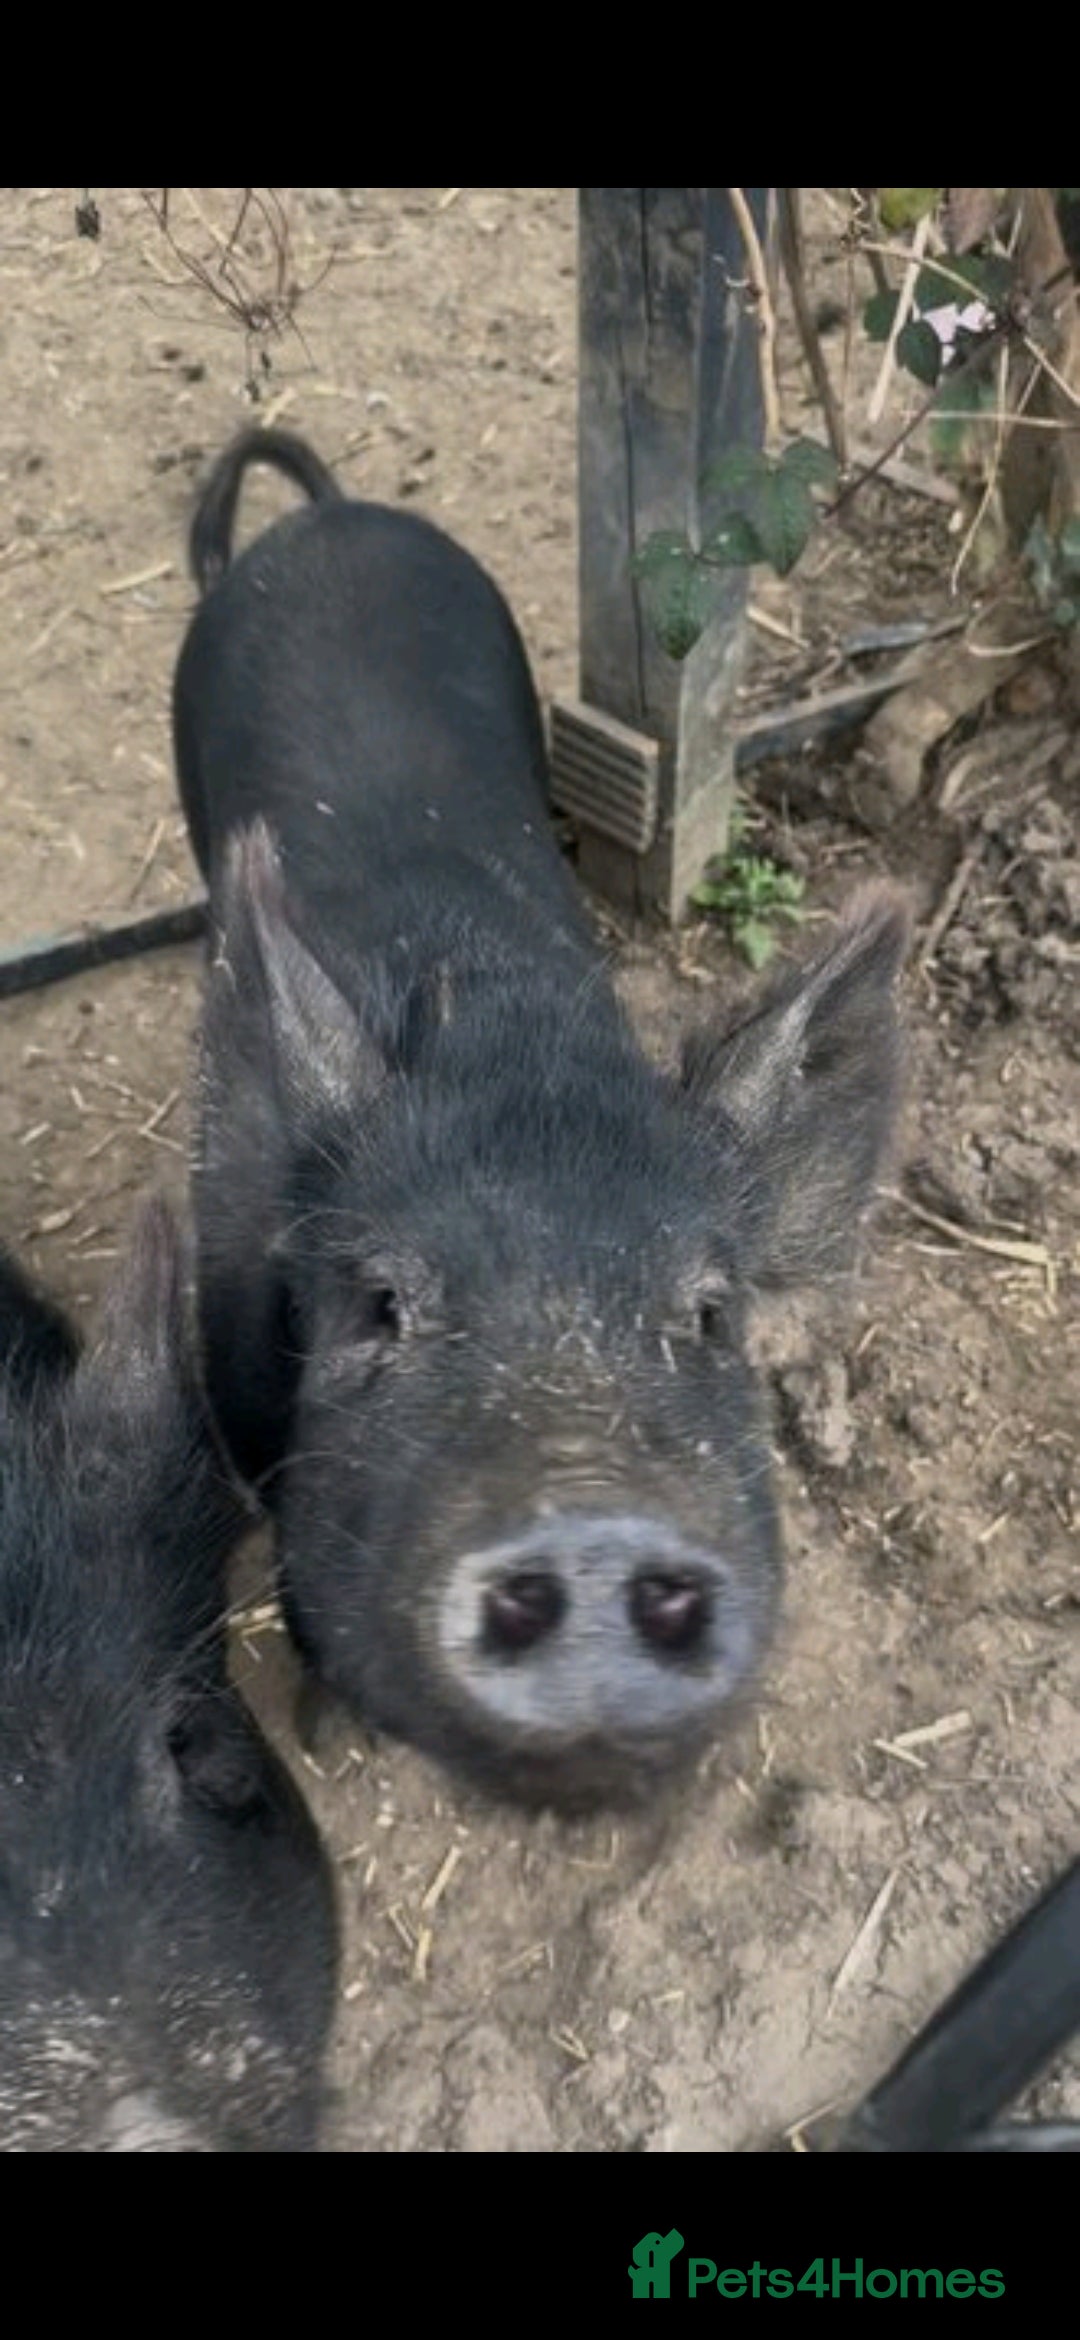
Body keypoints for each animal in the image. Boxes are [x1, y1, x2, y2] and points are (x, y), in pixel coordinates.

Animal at [173, 427, 908, 1811]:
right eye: (380, 1305)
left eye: (711, 1314)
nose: (591, 1515)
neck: (513, 1053)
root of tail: (325, 519)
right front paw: (327, 1737)